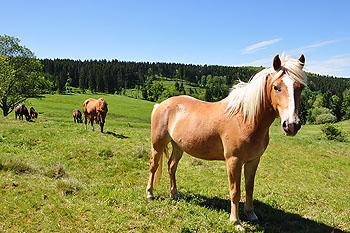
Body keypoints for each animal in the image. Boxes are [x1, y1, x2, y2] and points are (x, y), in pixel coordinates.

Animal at [146, 54, 308, 231]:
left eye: (300, 87)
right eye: (276, 87)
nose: (291, 125)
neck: (245, 119)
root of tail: (160, 105)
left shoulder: (253, 160)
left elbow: (249, 188)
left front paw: (251, 215)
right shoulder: (234, 161)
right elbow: (235, 192)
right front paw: (236, 222)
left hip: (178, 146)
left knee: (171, 166)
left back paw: (174, 194)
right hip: (158, 145)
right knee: (154, 165)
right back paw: (150, 194)